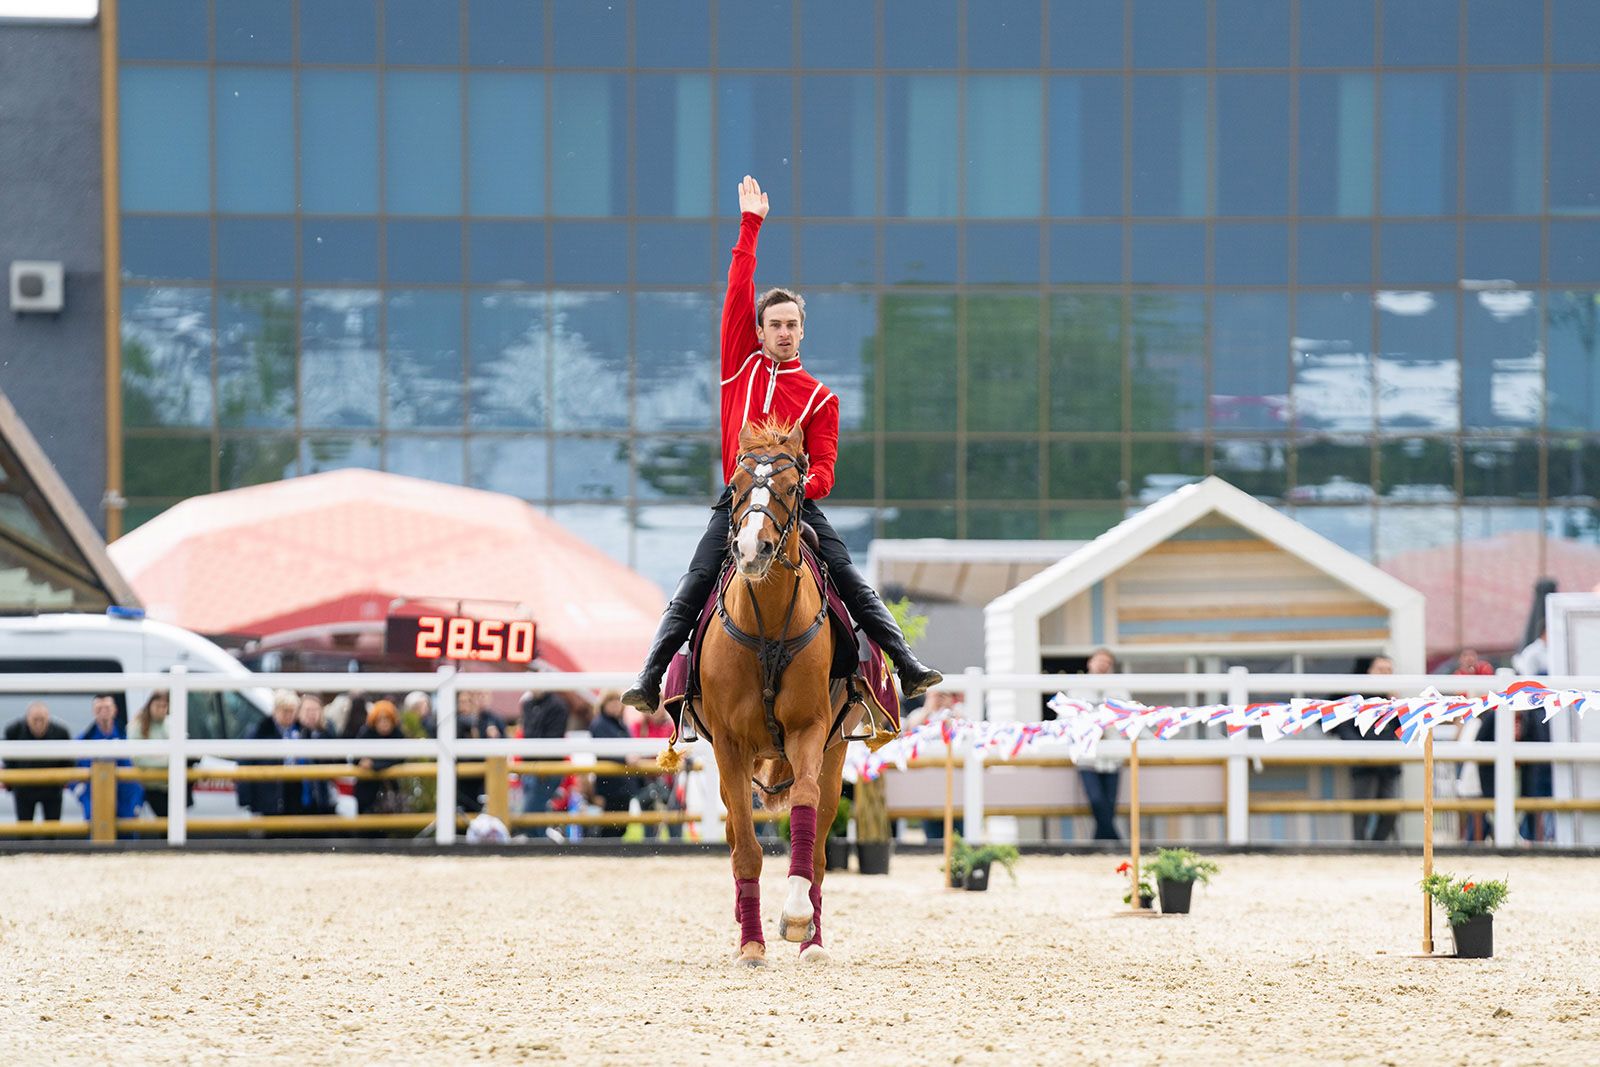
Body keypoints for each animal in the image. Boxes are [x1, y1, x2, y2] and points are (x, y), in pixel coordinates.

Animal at [697, 422, 851, 972]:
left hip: (835, 752)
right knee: (732, 835)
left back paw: (813, 942)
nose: (752, 549)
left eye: (790, 487)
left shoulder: (810, 730)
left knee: (821, 845)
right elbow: (745, 846)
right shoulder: (728, 745)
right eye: (737, 485)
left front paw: (798, 918)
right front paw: (752, 945)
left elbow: (803, 809)